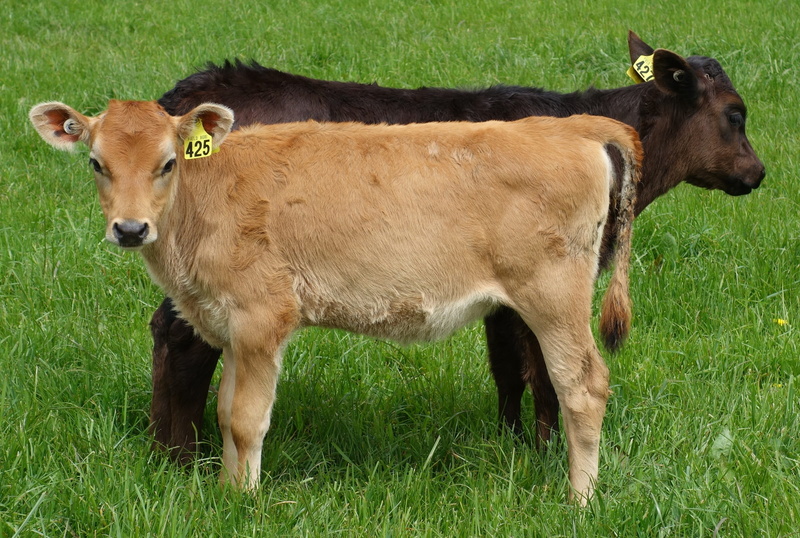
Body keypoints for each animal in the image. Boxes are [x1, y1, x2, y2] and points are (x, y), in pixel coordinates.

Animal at [30, 100, 642, 503]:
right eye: (96, 163)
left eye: (168, 162)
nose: (130, 229)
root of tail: (566, 127)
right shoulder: (232, 328)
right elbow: (225, 412)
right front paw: (227, 492)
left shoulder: (262, 318)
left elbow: (248, 420)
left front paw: (245, 503)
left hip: (553, 298)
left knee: (582, 387)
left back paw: (579, 501)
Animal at [146, 31, 765, 460]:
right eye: (736, 114)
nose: (757, 172)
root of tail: (192, 93)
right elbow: (543, 372)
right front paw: (544, 454)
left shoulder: (505, 294)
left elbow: (508, 369)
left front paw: (514, 444)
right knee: (184, 343)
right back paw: (185, 456)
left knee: (166, 330)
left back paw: (161, 448)